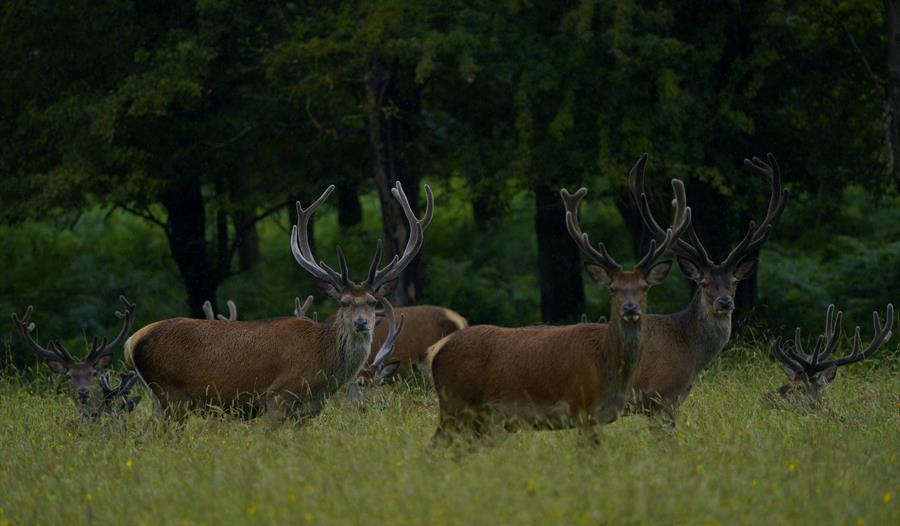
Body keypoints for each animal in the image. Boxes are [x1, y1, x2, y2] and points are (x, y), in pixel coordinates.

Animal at [125, 184, 430, 422]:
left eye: (371, 300)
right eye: (343, 302)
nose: (362, 323)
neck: (322, 364)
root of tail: (132, 342)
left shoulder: (309, 410)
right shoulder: (278, 396)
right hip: (170, 396)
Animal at [428, 162, 688, 446]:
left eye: (644, 287)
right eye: (613, 289)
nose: (630, 308)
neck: (608, 370)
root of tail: (437, 353)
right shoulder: (582, 407)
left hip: (476, 419)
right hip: (454, 405)